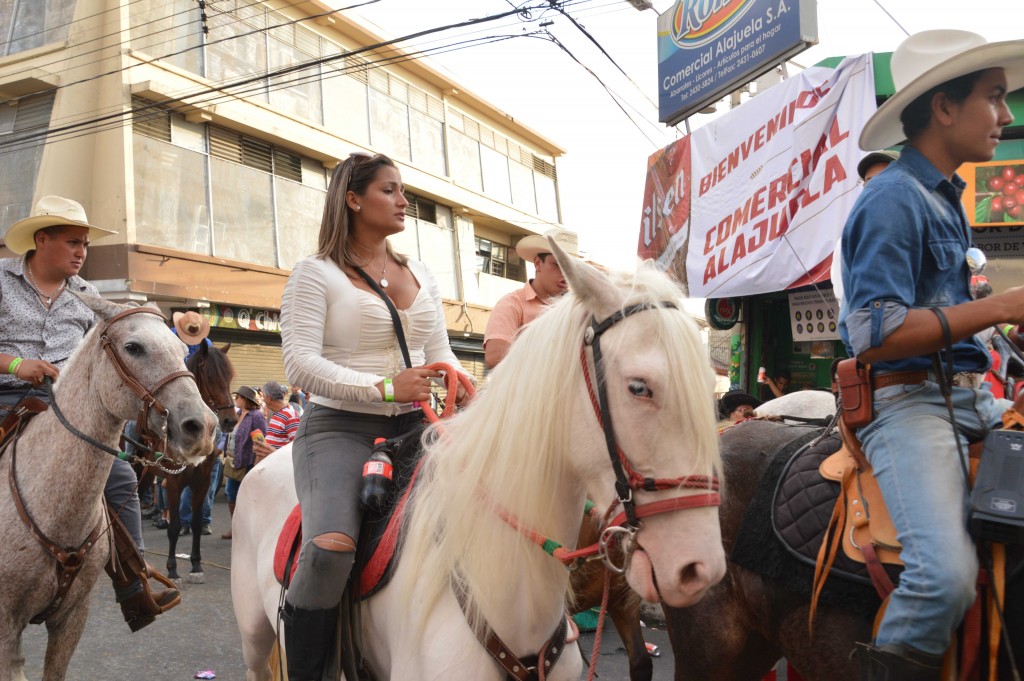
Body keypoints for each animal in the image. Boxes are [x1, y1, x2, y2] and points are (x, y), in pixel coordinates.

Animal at [162, 342, 236, 581]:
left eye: (229, 377)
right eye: (211, 377)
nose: (231, 420)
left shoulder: (203, 480)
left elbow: (195, 522)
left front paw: (196, 564)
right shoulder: (173, 481)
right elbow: (175, 526)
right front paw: (172, 568)